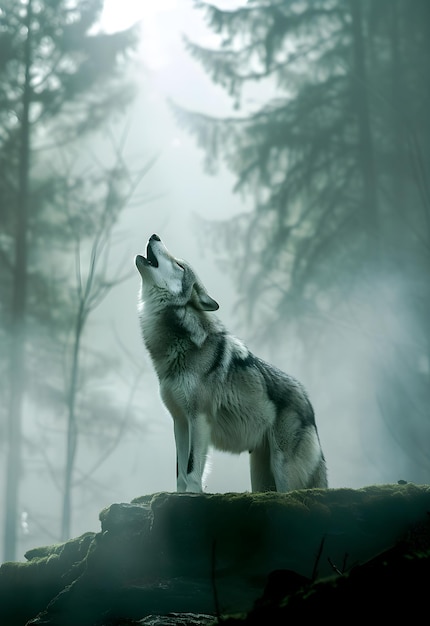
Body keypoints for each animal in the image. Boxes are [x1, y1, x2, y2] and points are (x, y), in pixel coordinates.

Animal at [136, 232, 328, 490]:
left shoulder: (199, 418)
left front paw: (193, 494)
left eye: (180, 265)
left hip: (284, 472)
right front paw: (179, 495)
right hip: (260, 476)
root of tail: (309, 403)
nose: (155, 235)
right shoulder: (180, 421)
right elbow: (180, 473)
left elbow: (192, 467)